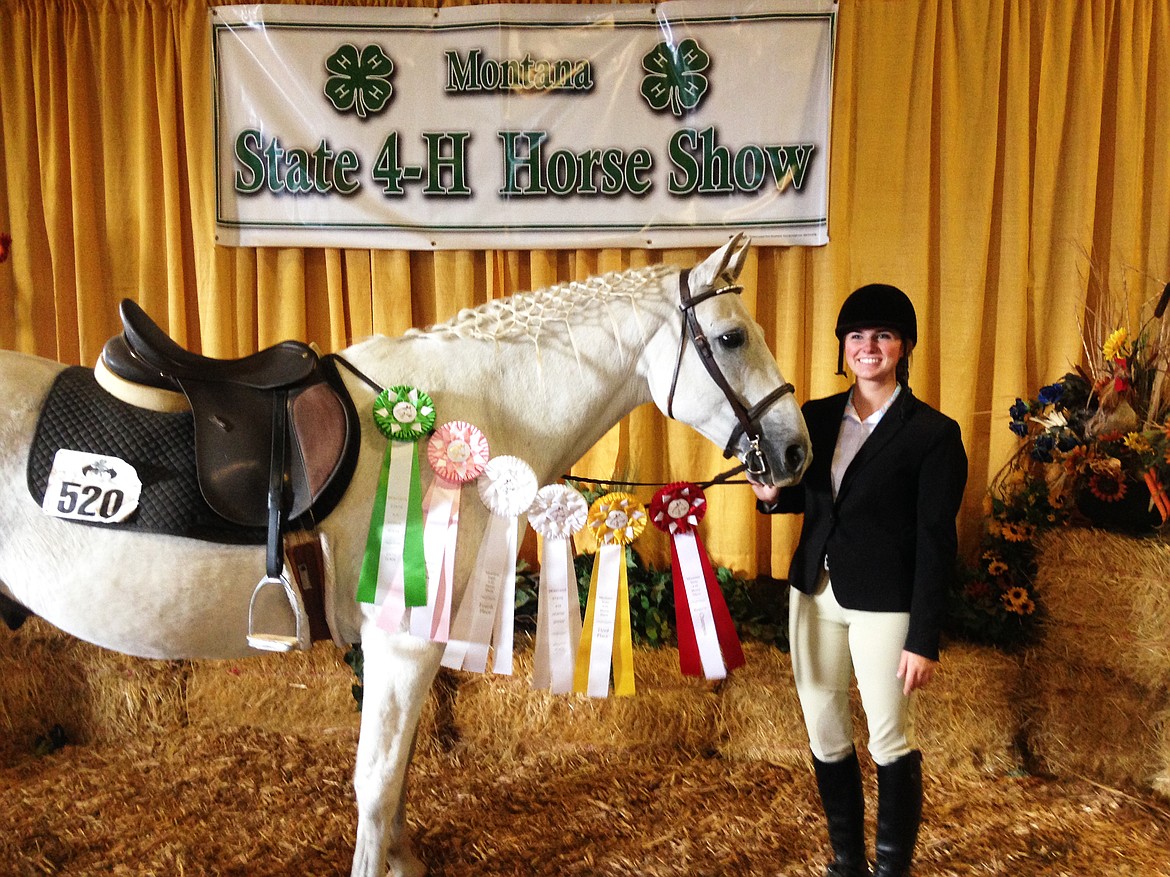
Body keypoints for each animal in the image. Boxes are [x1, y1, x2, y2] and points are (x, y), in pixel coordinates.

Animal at [0, 235, 804, 877]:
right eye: (732, 337)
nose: (796, 450)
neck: (456, 421)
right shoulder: (402, 640)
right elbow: (378, 779)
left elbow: (399, 772)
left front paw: (402, 858)